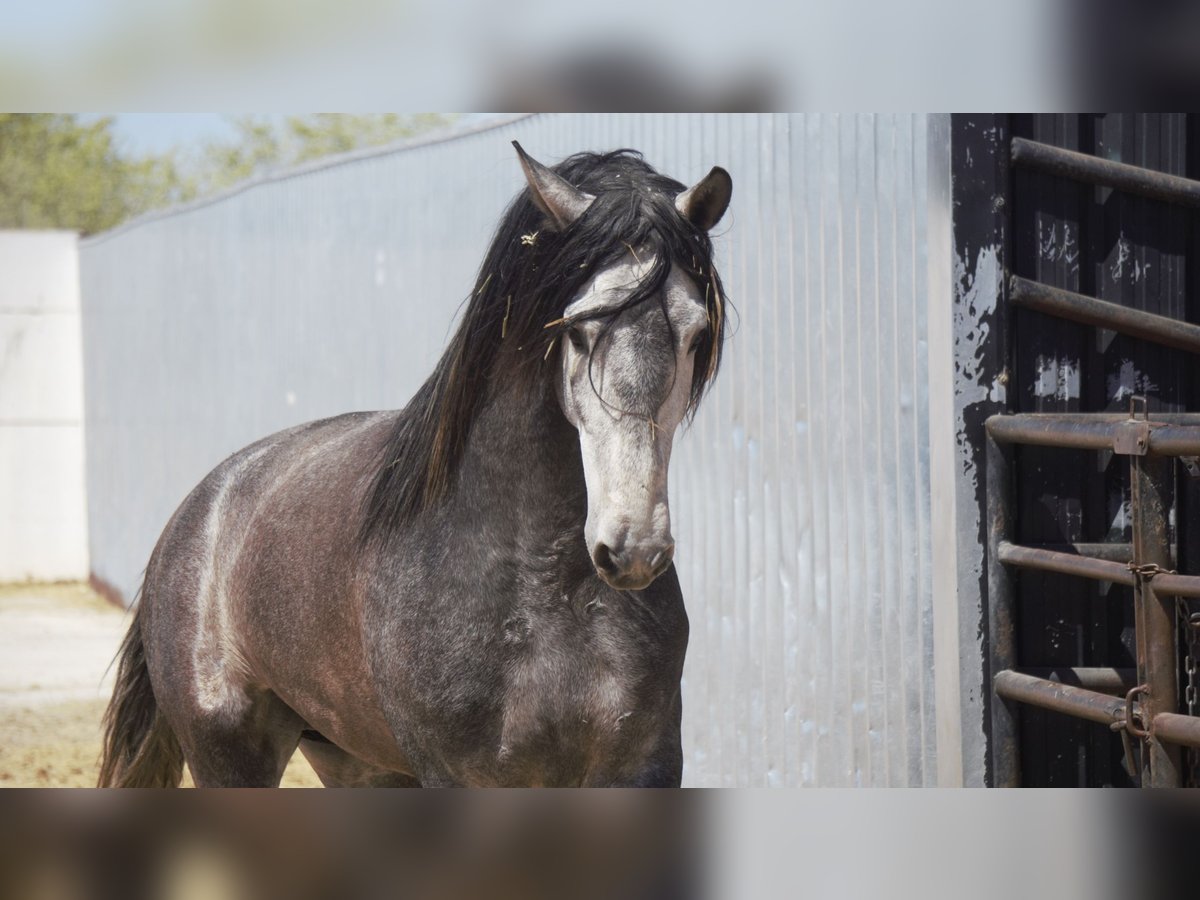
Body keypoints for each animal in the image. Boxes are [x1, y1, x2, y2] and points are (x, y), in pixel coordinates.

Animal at [96, 142, 729, 787]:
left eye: (696, 333)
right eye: (576, 330)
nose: (632, 549)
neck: (544, 593)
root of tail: (196, 511)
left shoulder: (642, 767)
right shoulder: (457, 776)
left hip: (354, 760)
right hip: (228, 753)